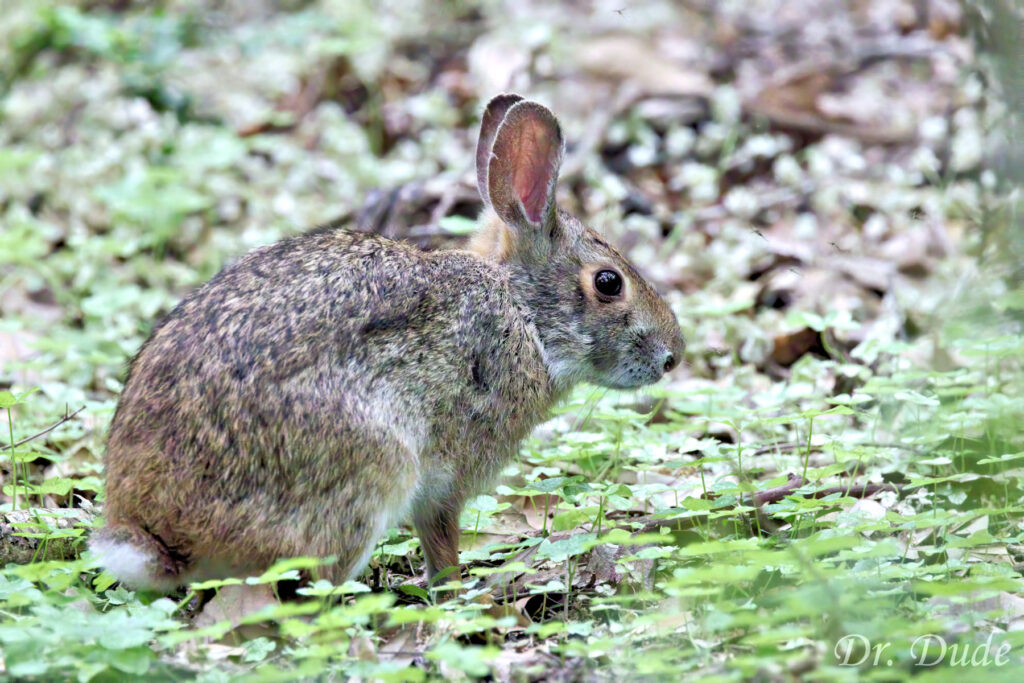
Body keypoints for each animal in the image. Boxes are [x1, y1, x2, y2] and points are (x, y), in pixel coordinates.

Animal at [89, 93, 686, 592]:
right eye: (608, 283)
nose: (671, 356)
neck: (523, 313)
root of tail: (160, 538)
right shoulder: (446, 479)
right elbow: (441, 538)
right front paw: (453, 589)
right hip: (374, 467)